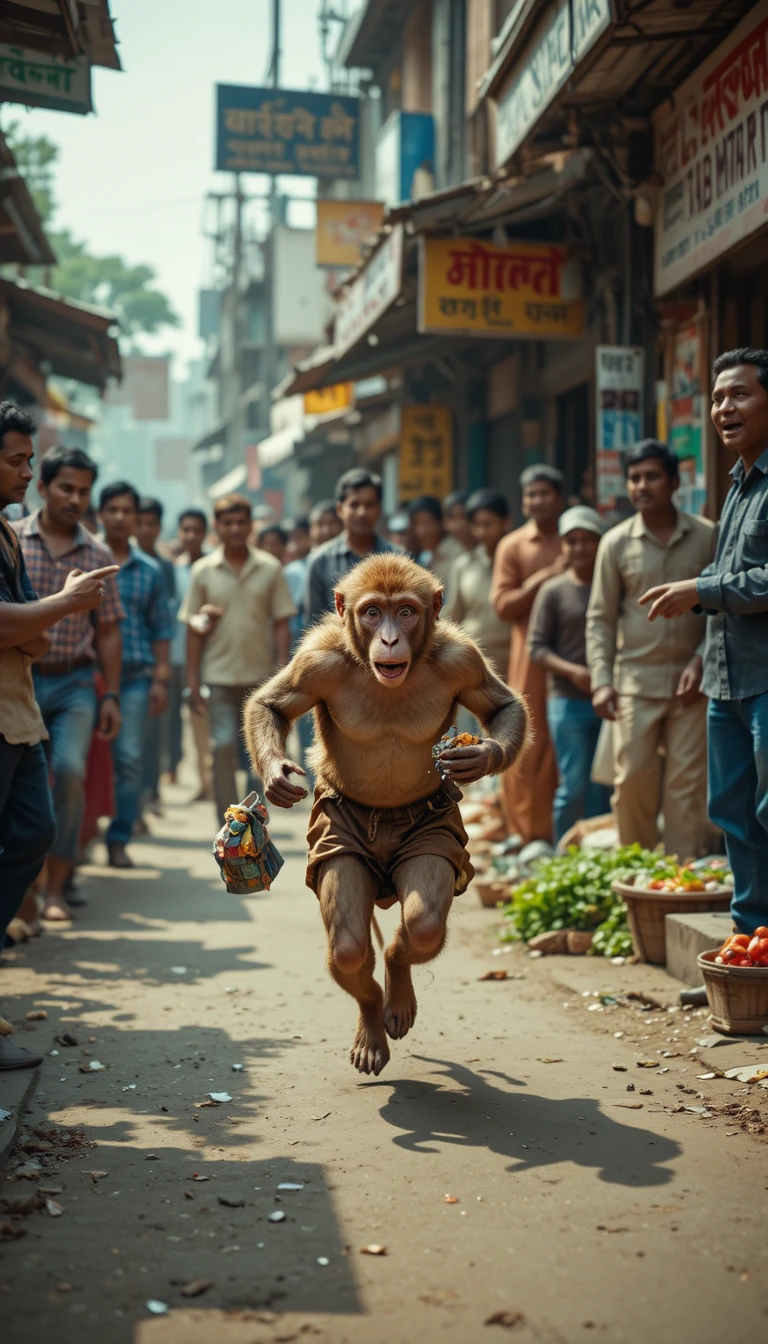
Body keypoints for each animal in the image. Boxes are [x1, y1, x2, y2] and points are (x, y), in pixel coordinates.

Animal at [244, 553, 529, 1077]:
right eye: (373, 612)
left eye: (407, 612)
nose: (391, 639)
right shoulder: (316, 662)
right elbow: (272, 705)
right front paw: (277, 776)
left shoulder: (462, 660)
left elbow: (503, 706)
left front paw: (481, 757)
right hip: (338, 844)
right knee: (350, 946)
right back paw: (374, 1019)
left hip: (436, 835)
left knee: (421, 925)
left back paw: (397, 976)